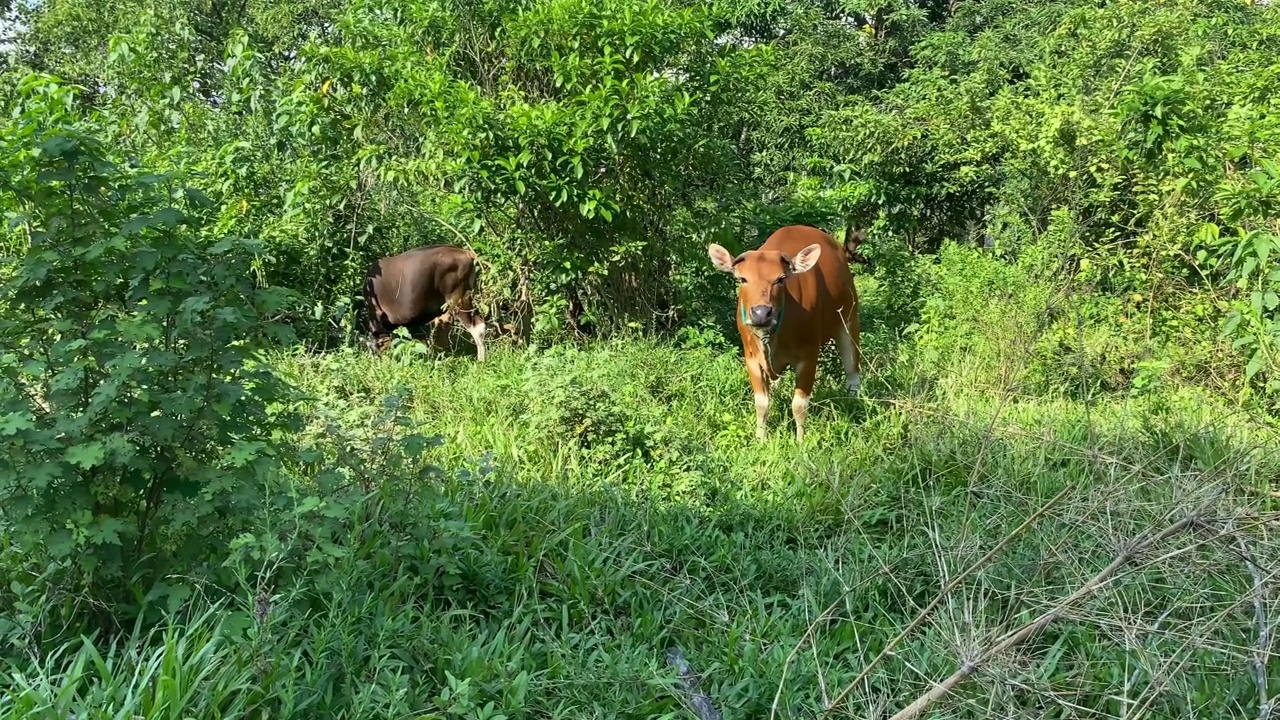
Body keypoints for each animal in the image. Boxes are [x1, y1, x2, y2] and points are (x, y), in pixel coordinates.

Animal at [711, 224, 860, 440]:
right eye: (743, 279)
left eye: (780, 279)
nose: (761, 313)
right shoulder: (751, 358)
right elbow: (761, 404)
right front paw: (760, 439)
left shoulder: (808, 355)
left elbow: (799, 406)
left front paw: (800, 440)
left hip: (849, 318)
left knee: (852, 370)